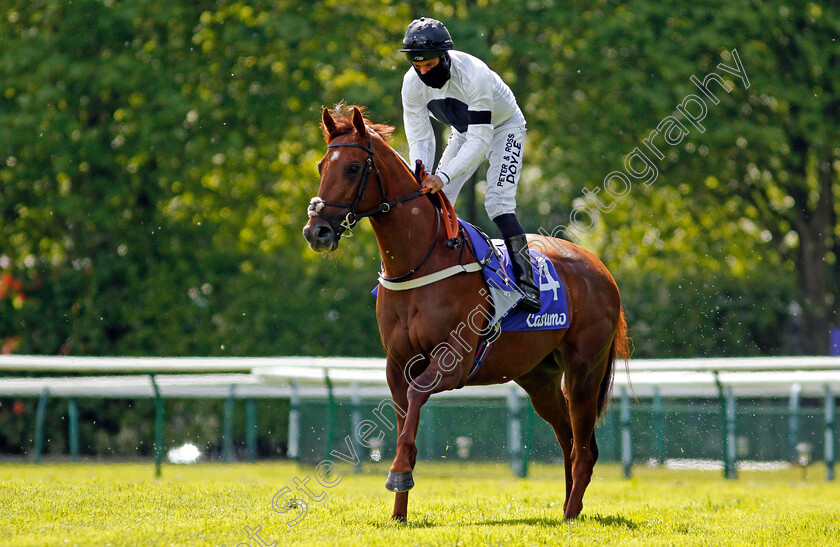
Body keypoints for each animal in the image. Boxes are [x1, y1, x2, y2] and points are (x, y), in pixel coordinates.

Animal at [304, 104, 632, 524]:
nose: (316, 231)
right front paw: (398, 512)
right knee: (569, 441)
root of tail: (601, 268)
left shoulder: (453, 362)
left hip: (583, 372)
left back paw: (571, 514)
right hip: (539, 378)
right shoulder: (397, 363)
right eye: (320, 166)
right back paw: (566, 510)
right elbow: (404, 421)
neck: (418, 262)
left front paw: (398, 474)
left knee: (585, 450)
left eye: (353, 167)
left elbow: (415, 402)